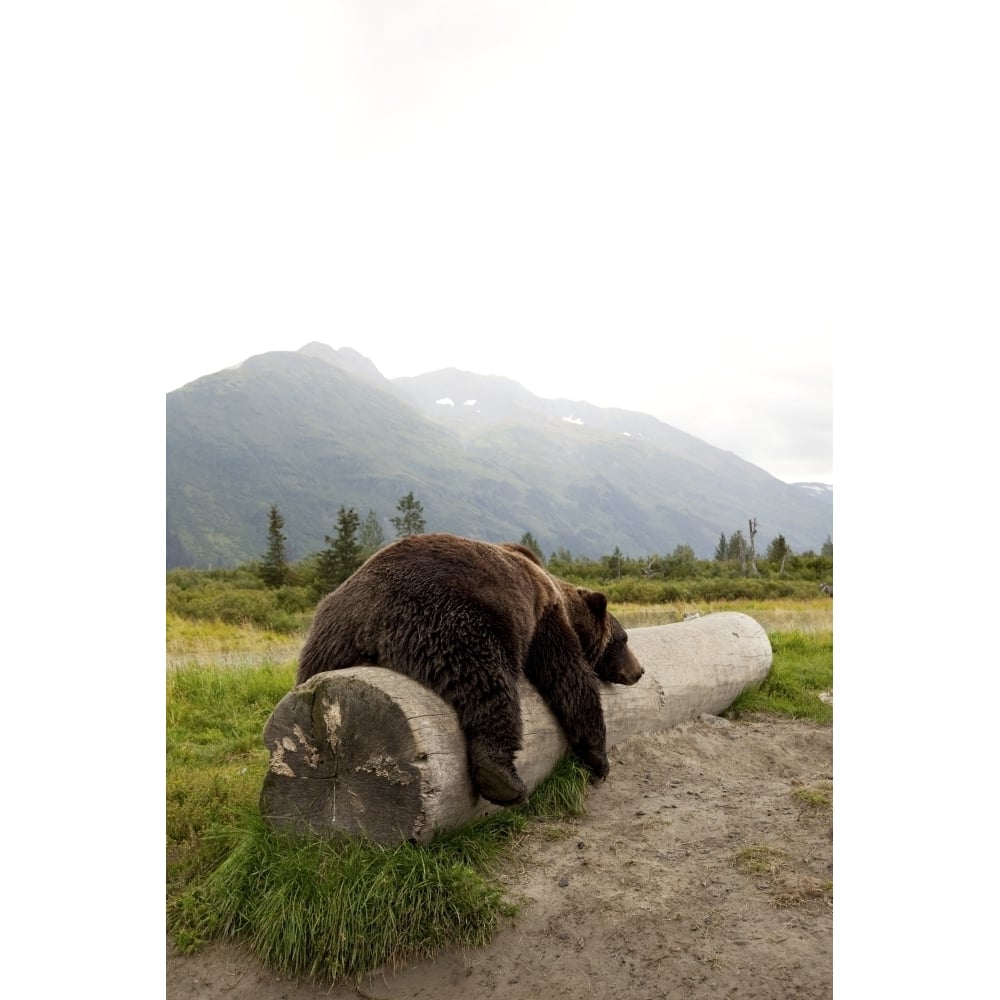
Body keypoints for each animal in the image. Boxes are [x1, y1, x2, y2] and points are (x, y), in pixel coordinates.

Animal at [292, 532, 644, 804]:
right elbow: (569, 678)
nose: (639, 670)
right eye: (623, 638)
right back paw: (503, 780)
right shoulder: (544, 617)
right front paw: (600, 760)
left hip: (326, 644)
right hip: (454, 618)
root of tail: (367, 619)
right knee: (489, 682)